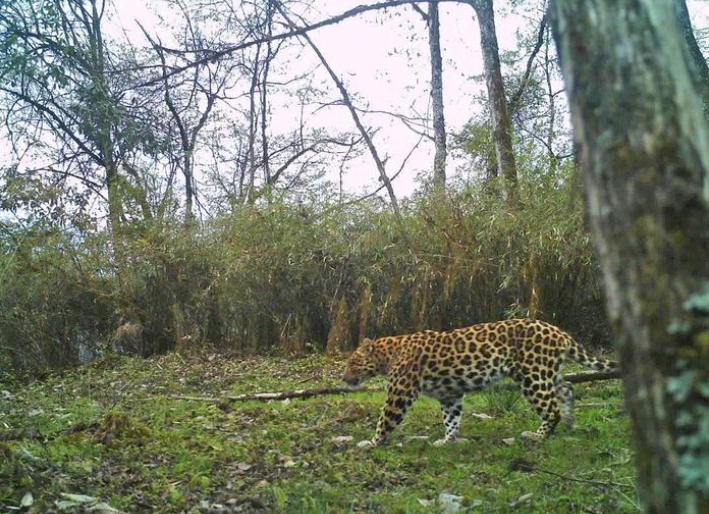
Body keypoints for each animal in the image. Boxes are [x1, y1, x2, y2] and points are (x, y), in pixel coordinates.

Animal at [340, 318, 616, 446]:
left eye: (352, 363)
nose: (343, 378)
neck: (388, 354)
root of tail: (559, 332)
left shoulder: (401, 392)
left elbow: (385, 419)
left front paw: (372, 443)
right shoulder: (450, 394)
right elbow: (451, 419)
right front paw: (447, 441)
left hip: (533, 376)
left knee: (551, 408)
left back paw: (537, 436)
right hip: (547, 372)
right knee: (567, 388)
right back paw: (569, 424)